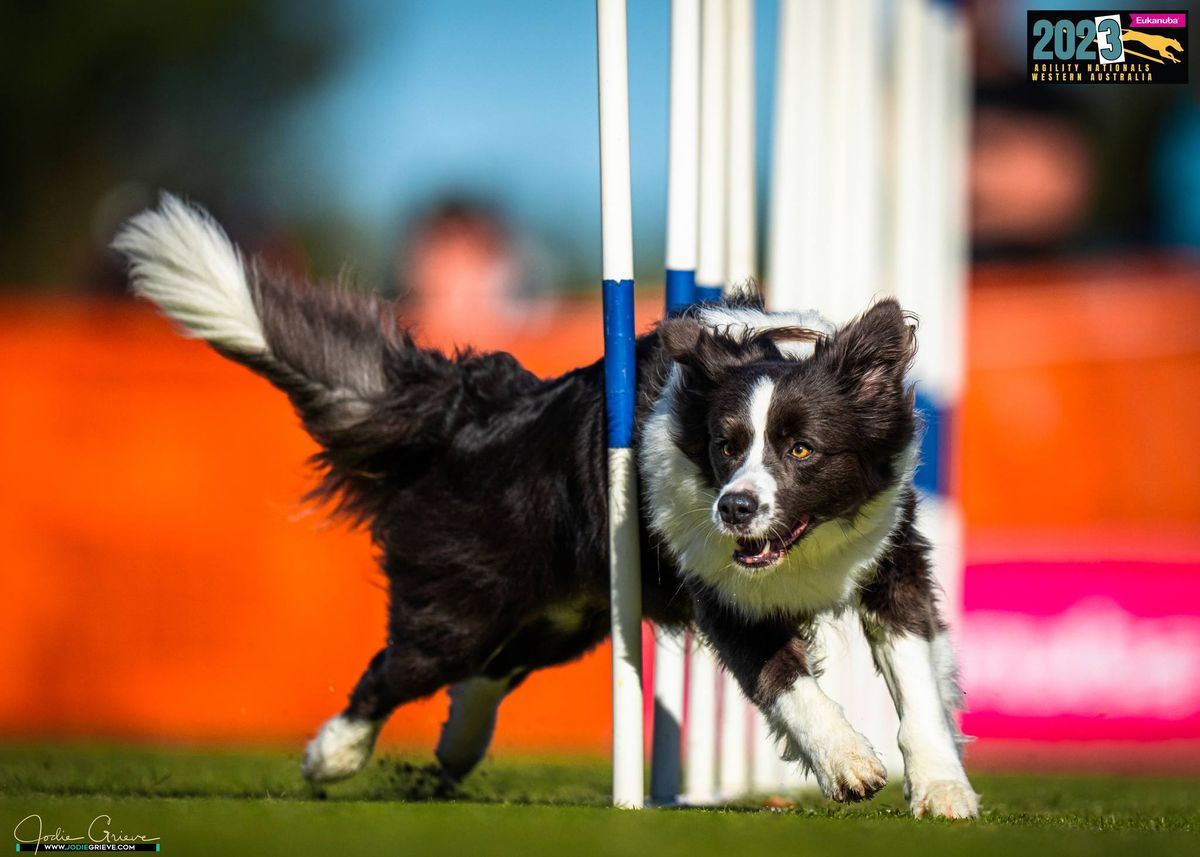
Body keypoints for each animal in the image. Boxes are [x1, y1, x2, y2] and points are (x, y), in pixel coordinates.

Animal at [110, 195, 974, 816]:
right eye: (726, 446)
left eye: (801, 450)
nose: (735, 508)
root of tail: (476, 410)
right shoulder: (722, 588)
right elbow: (786, 677)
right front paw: (848, 761)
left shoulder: (891, 560)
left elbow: (918, 687)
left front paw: (943, 790)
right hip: (469, 597)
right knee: (399, 666)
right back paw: (334, 755)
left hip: (567, 615)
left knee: (493, 667)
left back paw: (456, 748)